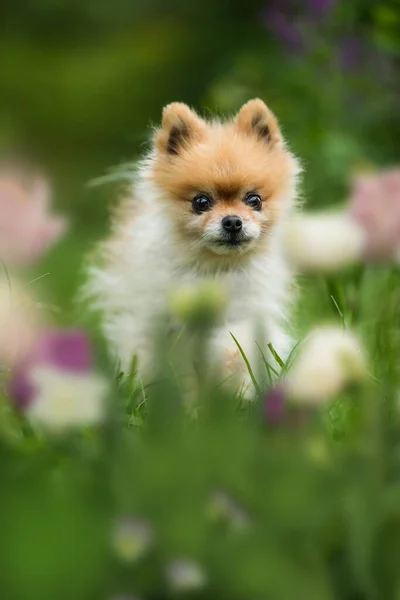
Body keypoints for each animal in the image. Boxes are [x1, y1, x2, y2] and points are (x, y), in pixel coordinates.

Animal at [86, 99, 300, 394]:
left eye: (254, 199)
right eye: (201, 202)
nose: (232, 222)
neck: (214, 267)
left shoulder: (244, 312)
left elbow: (236, 344)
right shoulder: (168, 325)